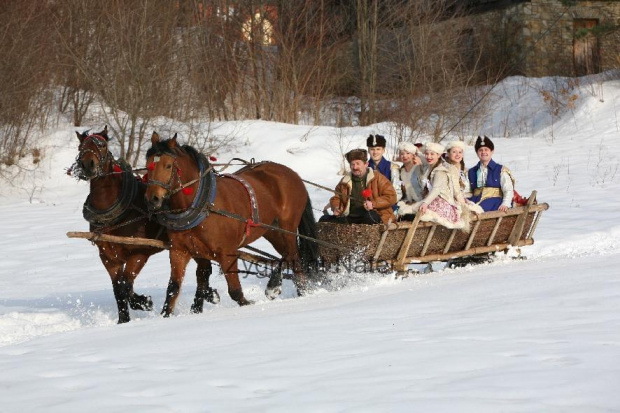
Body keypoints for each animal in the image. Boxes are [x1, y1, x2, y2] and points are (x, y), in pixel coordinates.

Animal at [75, 127, 220, 324]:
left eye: (102, 145)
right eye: (81, 147)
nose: (88, 165)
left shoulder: (139, 253)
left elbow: (126, 285)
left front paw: (144, 302)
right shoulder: (108, 257)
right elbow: (118, 290)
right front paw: (123, 320)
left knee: (204, 271)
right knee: (204, 270)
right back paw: (208, 296)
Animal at [143, 132, 318, 316]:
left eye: (168, 165)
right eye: (147, 166)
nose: (152, 199)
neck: (202, 205)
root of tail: (293, 174)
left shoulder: (227, 252)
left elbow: (235, 291)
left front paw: (247, 303)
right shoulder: (180, 251)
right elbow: (174, 289)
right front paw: (169, 314)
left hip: (287, 227)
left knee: (293, 256)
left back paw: (285, 288)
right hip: (272, 230)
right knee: (288, 255)